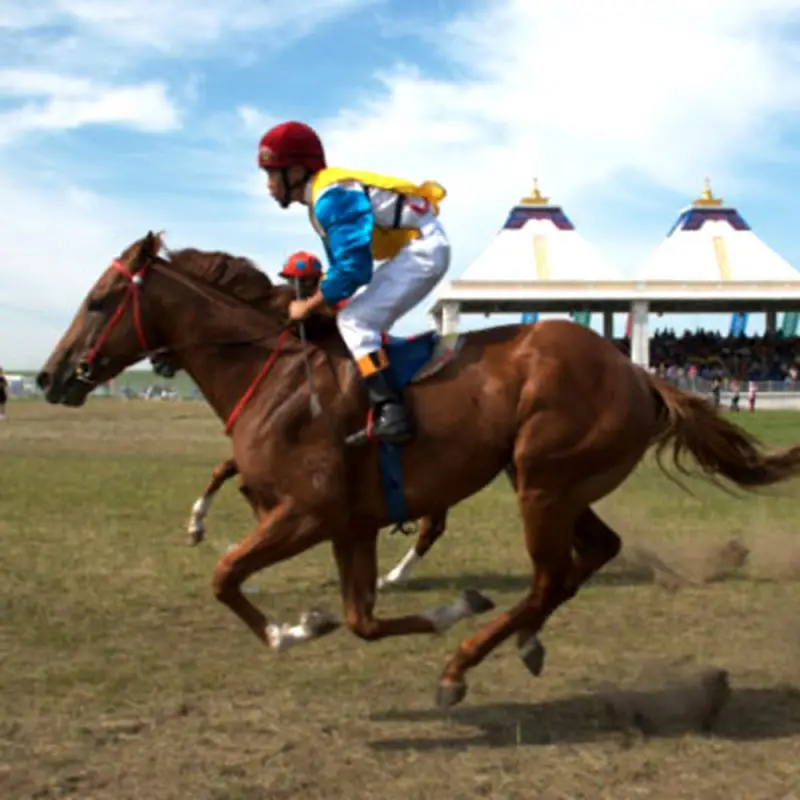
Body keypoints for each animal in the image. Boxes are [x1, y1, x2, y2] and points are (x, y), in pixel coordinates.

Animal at [37, 231, 800, 708]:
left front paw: (286, 630)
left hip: (543, 483)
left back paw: (466, 662)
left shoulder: (309, 513)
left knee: (549, 575)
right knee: (589, 556)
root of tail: (638, 372)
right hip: (553, 481)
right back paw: (520, 638)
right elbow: (359, 619)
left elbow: (227, 574)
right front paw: (323, 621)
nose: (48, 376)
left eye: (100, 301)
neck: (278, 374)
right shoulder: (348, 525)